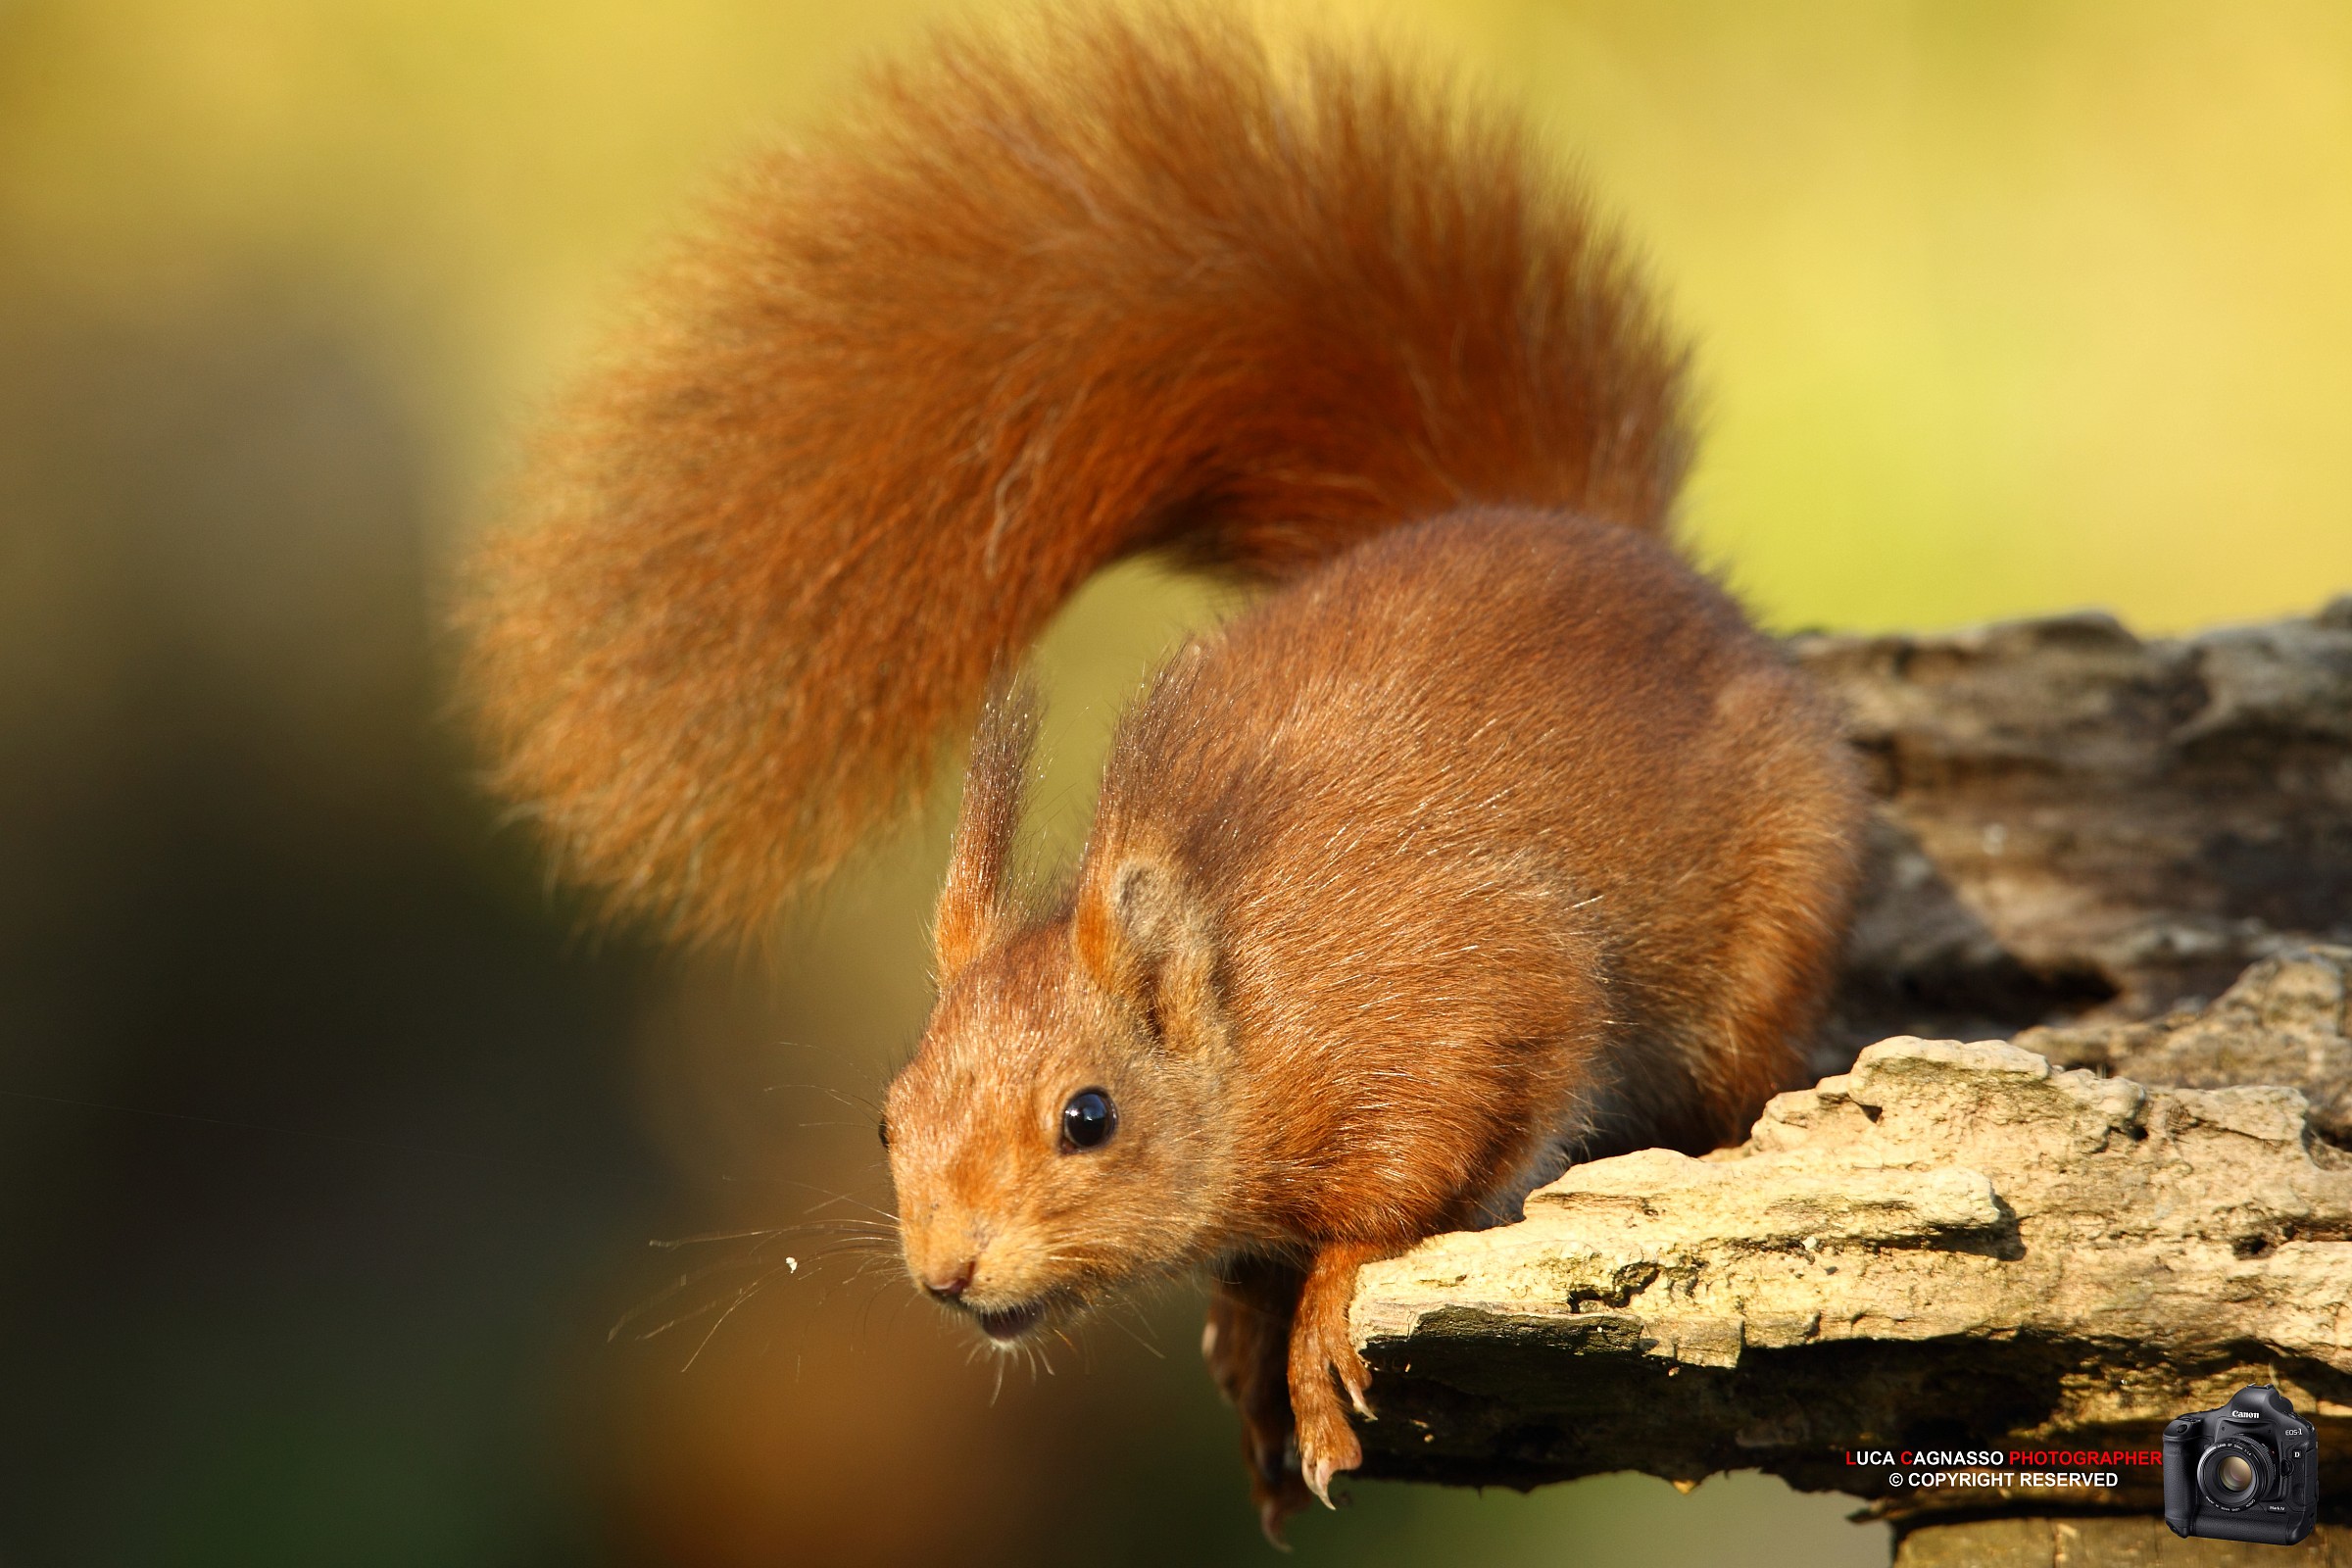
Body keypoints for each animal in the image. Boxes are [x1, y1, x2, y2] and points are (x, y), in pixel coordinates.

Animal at [460, 5, 1867, 1542]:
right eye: (888, 1115)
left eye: (1090, 1118)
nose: (947, 1271)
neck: (1251, 1013)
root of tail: (1590, 528)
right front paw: (1251, 1348)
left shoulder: (1478, 1001)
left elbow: (1405, 1190)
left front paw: (1321, 1315)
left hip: (1760, 932)